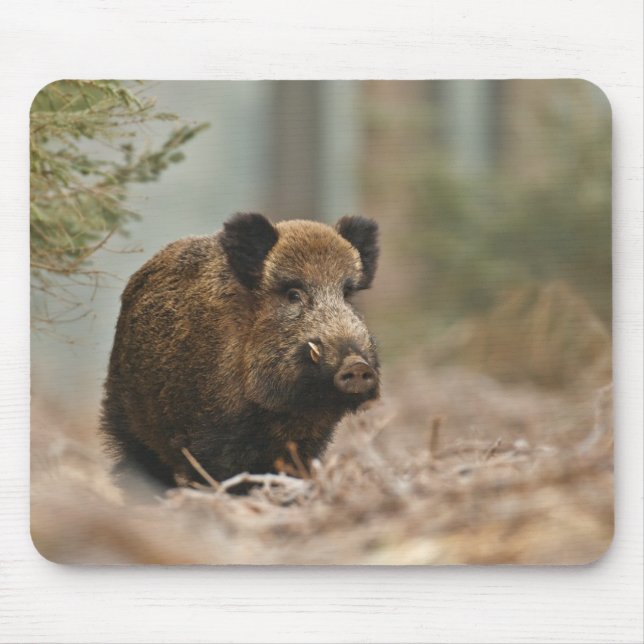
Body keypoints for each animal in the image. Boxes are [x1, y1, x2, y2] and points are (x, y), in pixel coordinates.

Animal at [101, 213, 380, 493]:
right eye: (293, 294)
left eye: (347, 294)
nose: (357, 365)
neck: (280, 412)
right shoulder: (209, 435)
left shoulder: (309, 440)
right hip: (124, 416)